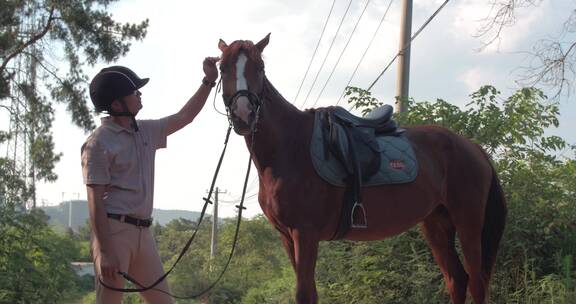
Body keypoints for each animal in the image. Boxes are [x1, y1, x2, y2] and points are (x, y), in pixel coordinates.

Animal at [218, 34, 506, 302]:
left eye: (260, 67)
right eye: (222, 68)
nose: (243, 115)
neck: (290, 146)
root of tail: (473, 147)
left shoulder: (305, 234)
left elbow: (305, 294)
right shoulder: (287, 237)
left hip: (468, 221)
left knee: (476, 282)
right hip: (436, 222)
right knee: (456, 279)